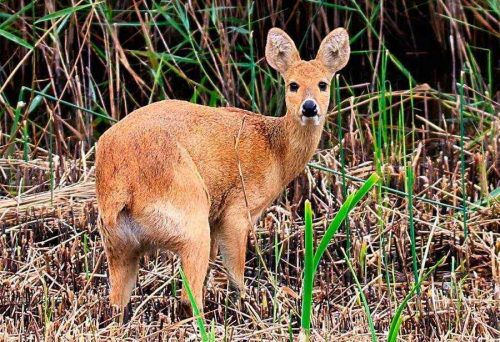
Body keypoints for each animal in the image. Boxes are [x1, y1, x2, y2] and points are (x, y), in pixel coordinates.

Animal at [94, 27, 352, 316]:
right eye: (292, 84)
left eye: (323, 84)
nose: (309, 107)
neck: (276, 151)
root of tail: (121, 182)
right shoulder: (237, 210)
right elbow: (236, 275)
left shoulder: (216, 219)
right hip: (189, 221)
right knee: (188, 298)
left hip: (119, 243)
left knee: (116, 303)